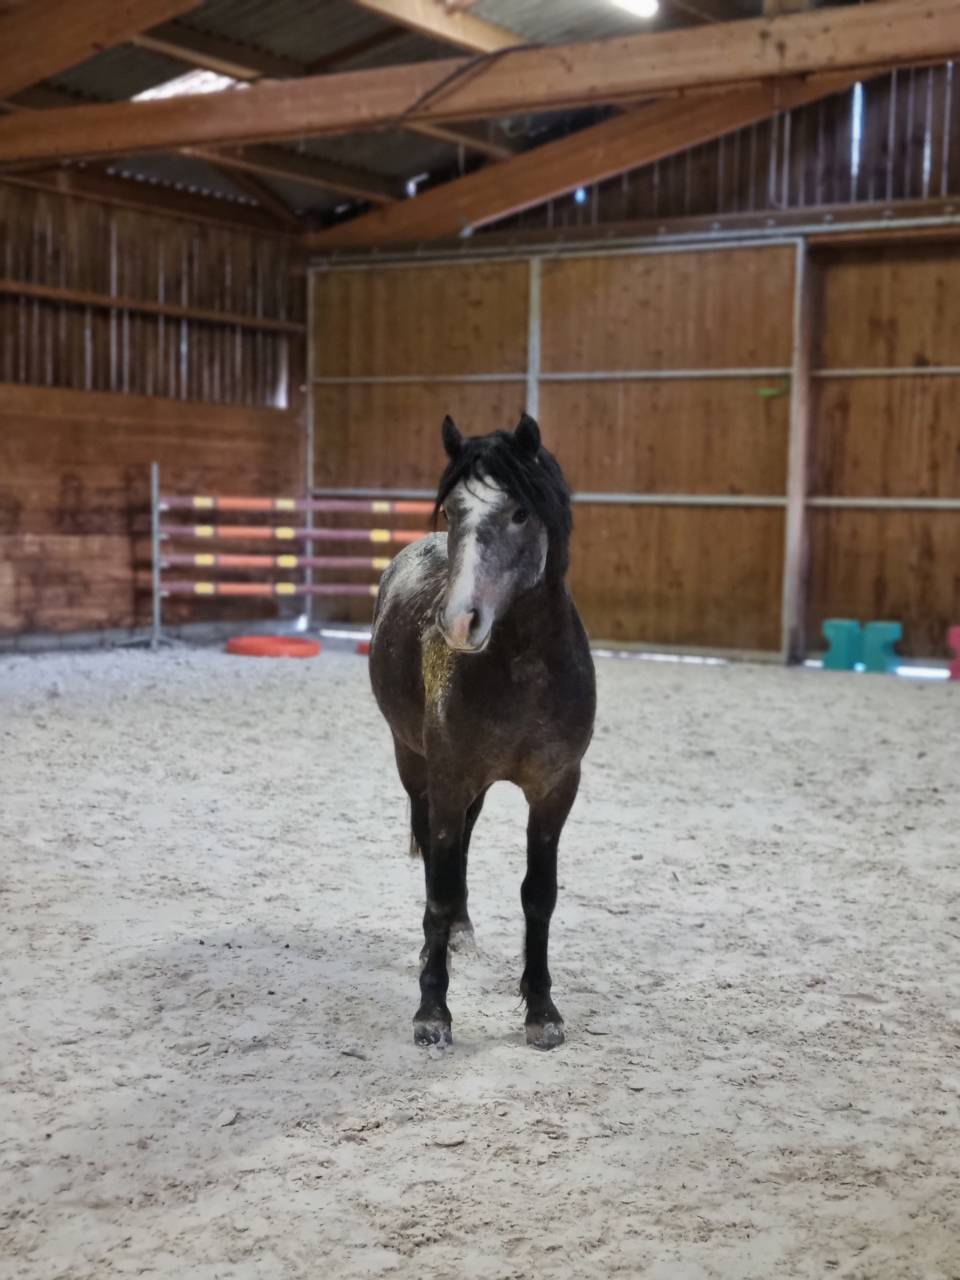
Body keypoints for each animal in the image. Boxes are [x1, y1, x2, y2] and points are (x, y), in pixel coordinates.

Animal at [368, 412, 596, 1050]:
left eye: (520, 512)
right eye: (451, 513)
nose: (459, 622)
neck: (522, 670)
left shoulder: (555, 788)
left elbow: (539, 895)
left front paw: (542, 1011)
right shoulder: (448, 776)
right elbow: (438, 888)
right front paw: (432, 1012)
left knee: (463, 842)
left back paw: (462, 935)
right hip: (415, 764)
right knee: (435, 854)